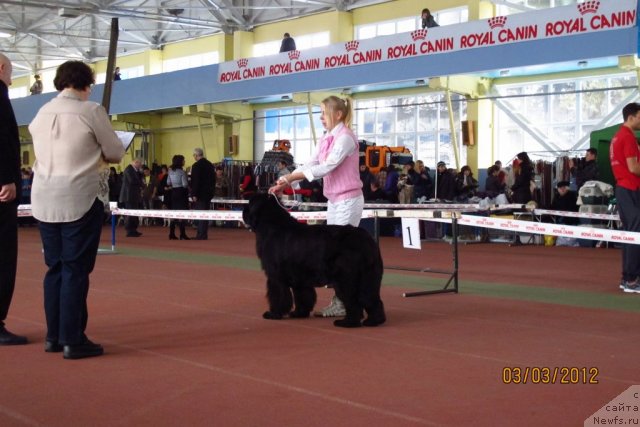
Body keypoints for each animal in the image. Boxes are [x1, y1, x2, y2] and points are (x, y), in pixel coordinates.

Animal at [242, 193, 384, 328]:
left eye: (249, 203)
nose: (243, 210)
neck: (272, 225)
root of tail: (365, 239)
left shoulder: (275, 276)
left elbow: (278, 296)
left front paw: (273, 314)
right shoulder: (299, 276)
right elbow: (302, 296)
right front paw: (298, 313)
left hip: (346, 279)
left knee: (354, 302)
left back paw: (347, 323)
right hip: (369, 278)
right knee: (371, 299)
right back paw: (373, 321)